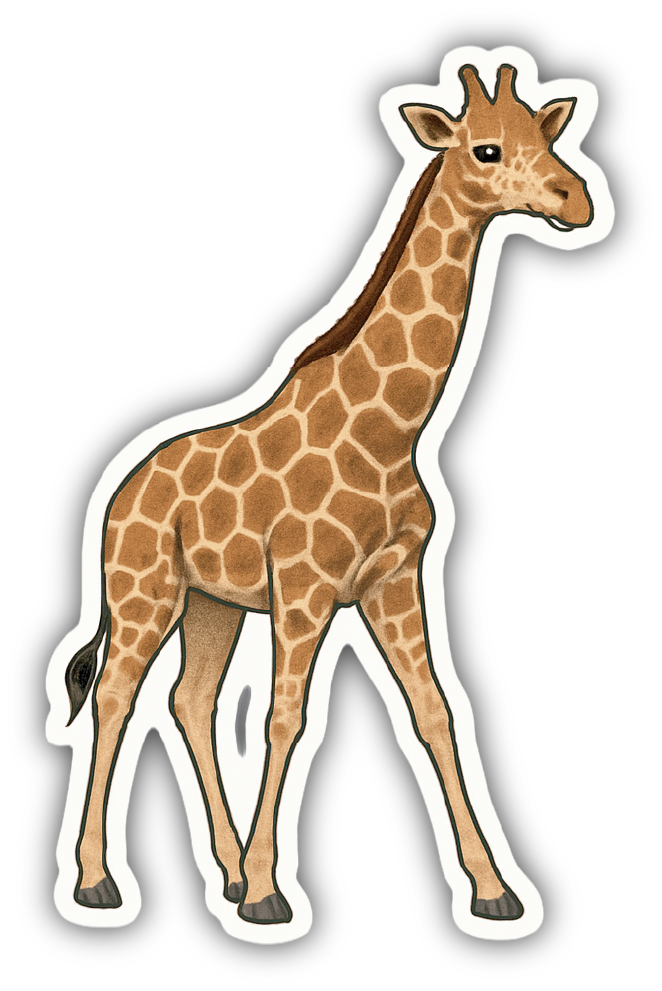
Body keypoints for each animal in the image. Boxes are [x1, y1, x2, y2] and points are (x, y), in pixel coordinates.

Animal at [64, 64, 592, 925]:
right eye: (485, 148)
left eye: (547, 136)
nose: (576, 198)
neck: (393, 428)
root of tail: (116, 498)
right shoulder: (305, 586)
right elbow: (287, 718)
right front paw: (270, 893)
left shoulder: (395, 580)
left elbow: (437, 710)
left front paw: (494, 889)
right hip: (144, 590)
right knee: (115, 696)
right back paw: (97, 878)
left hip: (212, 603)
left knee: (191, 699)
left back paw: (225, 870)